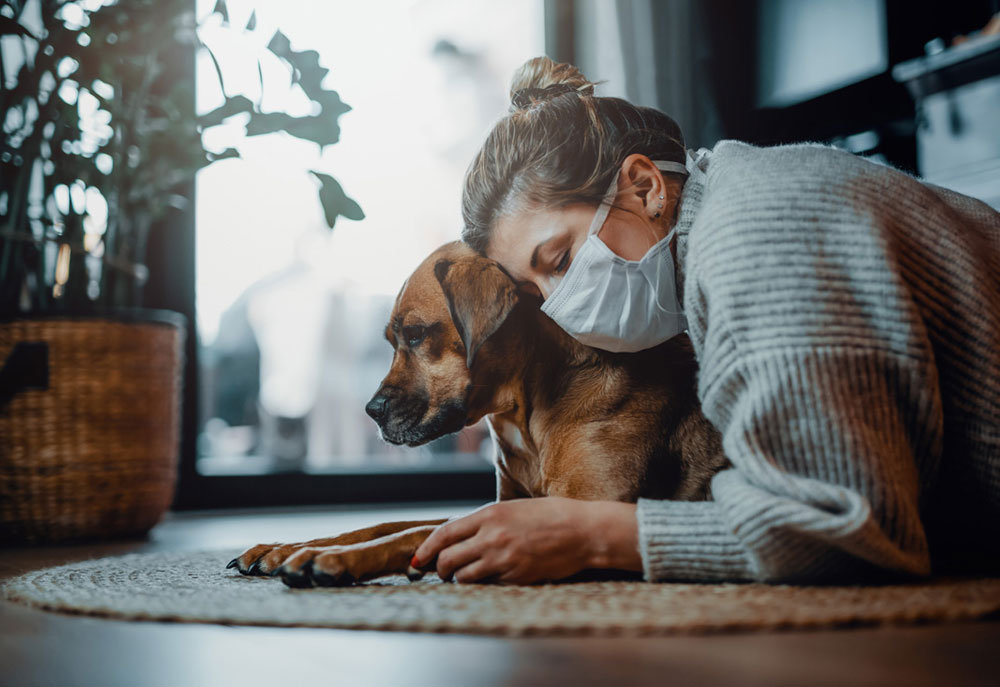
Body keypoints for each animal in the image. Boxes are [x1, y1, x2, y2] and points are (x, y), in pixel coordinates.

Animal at [227, 241, 728, 584]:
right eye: (391, 341)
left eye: (416, 334)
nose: (370, 411)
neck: (527, 413)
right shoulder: (510, 504)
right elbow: (392, 523)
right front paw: (285, 546)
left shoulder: (585, 512)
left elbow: (417, 531)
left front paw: (328, 558)